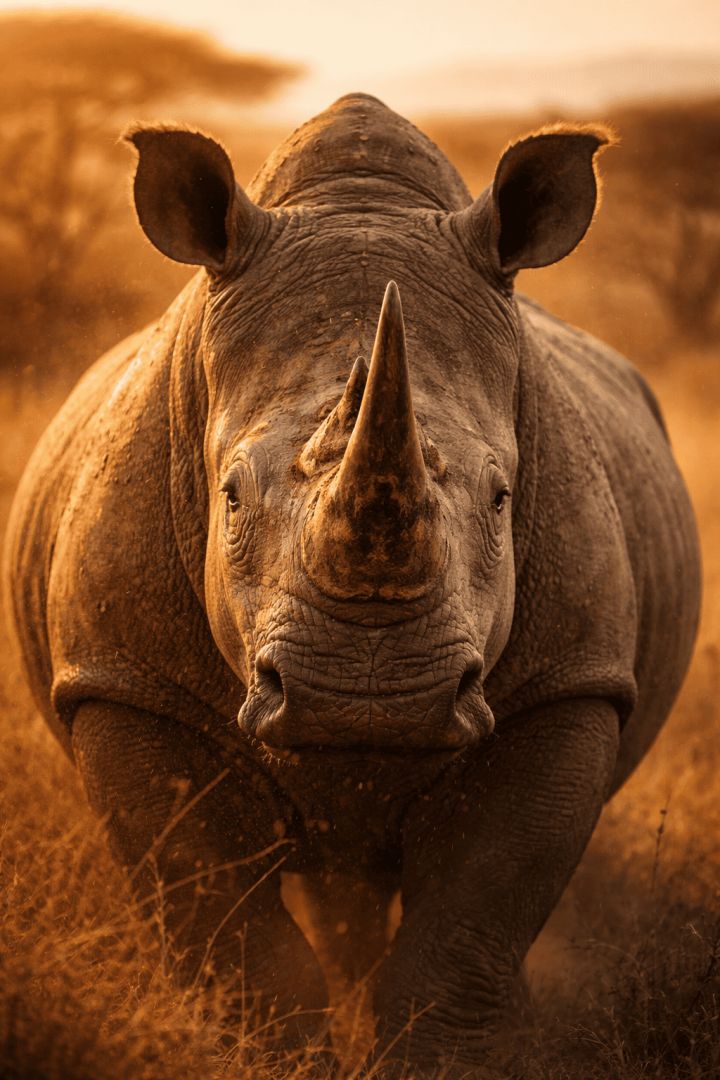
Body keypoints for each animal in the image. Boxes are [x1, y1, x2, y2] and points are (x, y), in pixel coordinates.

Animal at [4, 94, 700, 1075]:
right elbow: (233, 940)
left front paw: (442, 1057)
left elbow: (464, 935)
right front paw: (285, 1058)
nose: (368, 700)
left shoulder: (570, 683)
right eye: (228, 495)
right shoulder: (124, 682)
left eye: (501, 496)